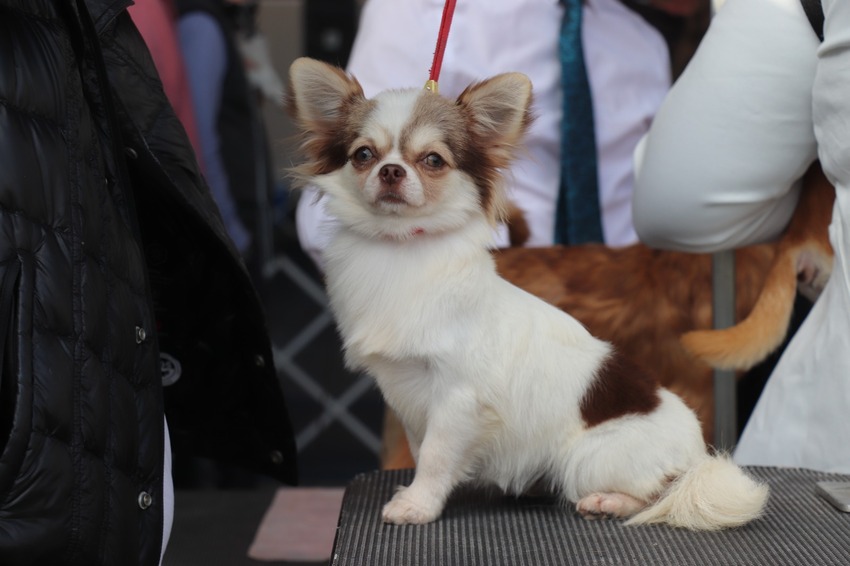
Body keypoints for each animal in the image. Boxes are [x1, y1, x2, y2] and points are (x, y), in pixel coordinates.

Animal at [286, 57, 768, 532]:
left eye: (433, 160)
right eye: (363, 155)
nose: (390, 170)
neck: (400, 249)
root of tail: (698, 456)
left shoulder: (457, 397)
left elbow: (437, 456)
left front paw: (418, 505)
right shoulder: (407, 395)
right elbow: (421, 449)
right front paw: (418, 493)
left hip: (588, 458)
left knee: (660, 495)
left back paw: (608, 501)